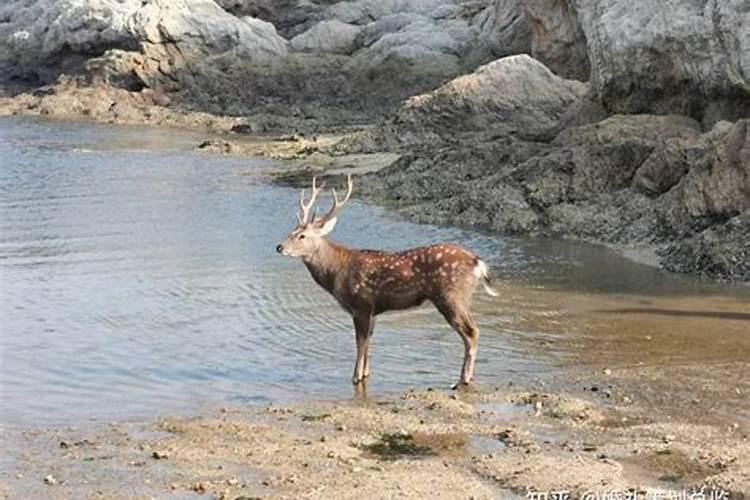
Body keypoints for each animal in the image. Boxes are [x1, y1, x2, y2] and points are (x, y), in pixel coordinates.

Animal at [276, 175, 500, 386]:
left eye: (302, 236)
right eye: (291, 231)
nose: (279, 247)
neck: (337, 273)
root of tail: (477, 263)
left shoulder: (361, 304)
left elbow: (360, 342)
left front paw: (355, 377)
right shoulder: (372, 310)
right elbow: (368, 342)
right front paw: (365, 374)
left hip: (450, 295)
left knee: (471, 332)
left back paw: (463, 379)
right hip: (461, 297)